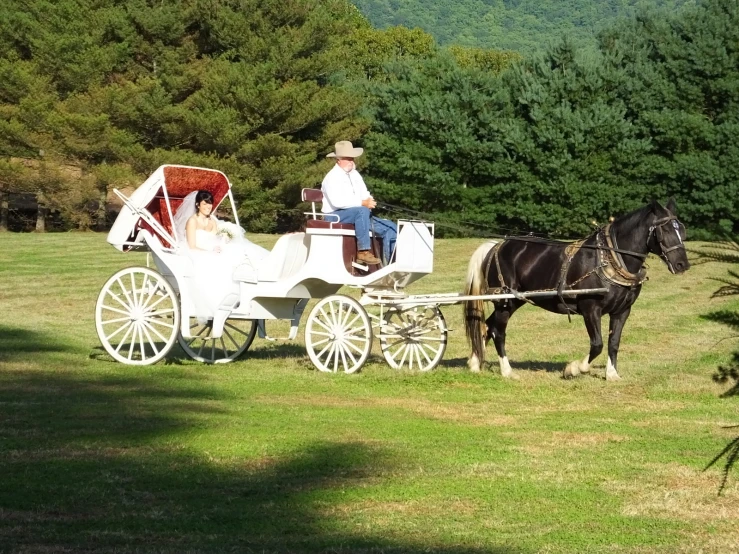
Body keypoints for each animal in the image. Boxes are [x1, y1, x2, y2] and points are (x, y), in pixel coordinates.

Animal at [466, 199, 692, 380]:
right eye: (664, 230)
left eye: (681, 229)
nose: (682, 264)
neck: (610, 258)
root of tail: (497, 245)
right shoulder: (590, 308)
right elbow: (597, 344)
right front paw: (573, 369)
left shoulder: (622, 311)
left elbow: (614, 342)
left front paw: (612, 374)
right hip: (505, 301)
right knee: (498, 331)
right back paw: (507, 371)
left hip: (513, 300)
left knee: (487, 325)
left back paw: (475, 363)